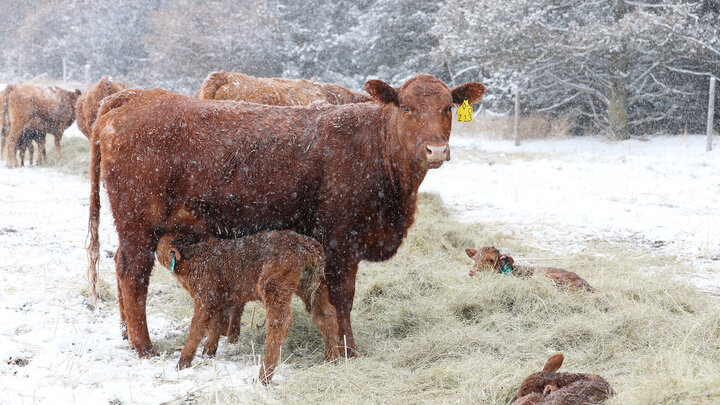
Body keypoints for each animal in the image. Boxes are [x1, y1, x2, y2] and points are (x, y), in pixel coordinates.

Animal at [87, 73, 486, 356]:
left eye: (448, 108)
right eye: (406, 108)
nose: (436, 149)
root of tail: (133, 97)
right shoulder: (341, 241)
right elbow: (342, 297)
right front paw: (348, 350)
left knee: (121, 267)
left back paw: (126, 335)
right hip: (139, 224)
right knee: (132, 275)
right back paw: (144, 347)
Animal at [155, 230, 340, 382]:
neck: (191, 258)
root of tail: (306, 243)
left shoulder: (206, 295)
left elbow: (197, 327)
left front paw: (182, 363)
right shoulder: (220, 298)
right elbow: (216, 324)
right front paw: (208, 352)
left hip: (274, 284)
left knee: (280, 322)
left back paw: (263, 377)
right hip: (314, 285)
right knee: (326, 314)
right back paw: (333, 360)